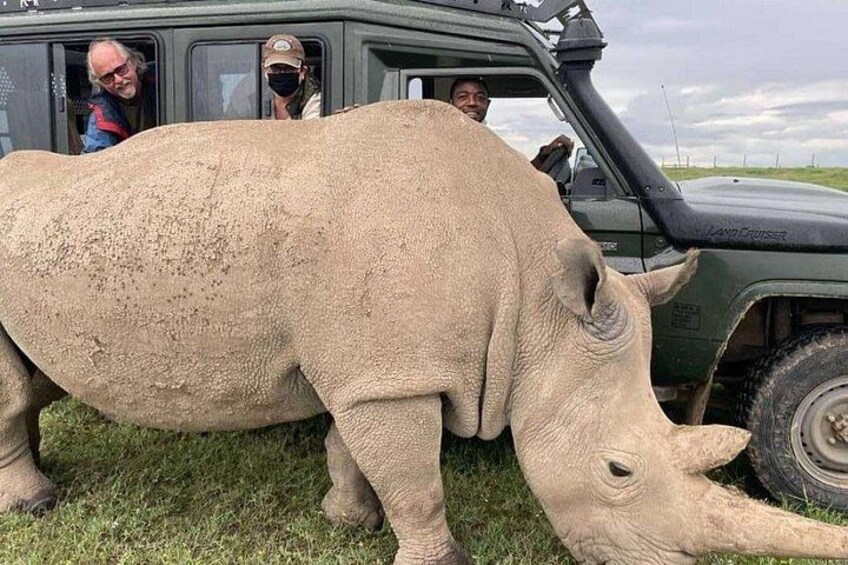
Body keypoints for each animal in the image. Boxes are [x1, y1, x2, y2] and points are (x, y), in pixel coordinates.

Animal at [0, 100, 845, 564]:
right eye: (617, 469)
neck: (536, 302)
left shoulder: (377, 369)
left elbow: (354, 449)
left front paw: (348, 520)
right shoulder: (389, 375)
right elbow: (416, 477)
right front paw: (439, 557)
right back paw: (35, 504)